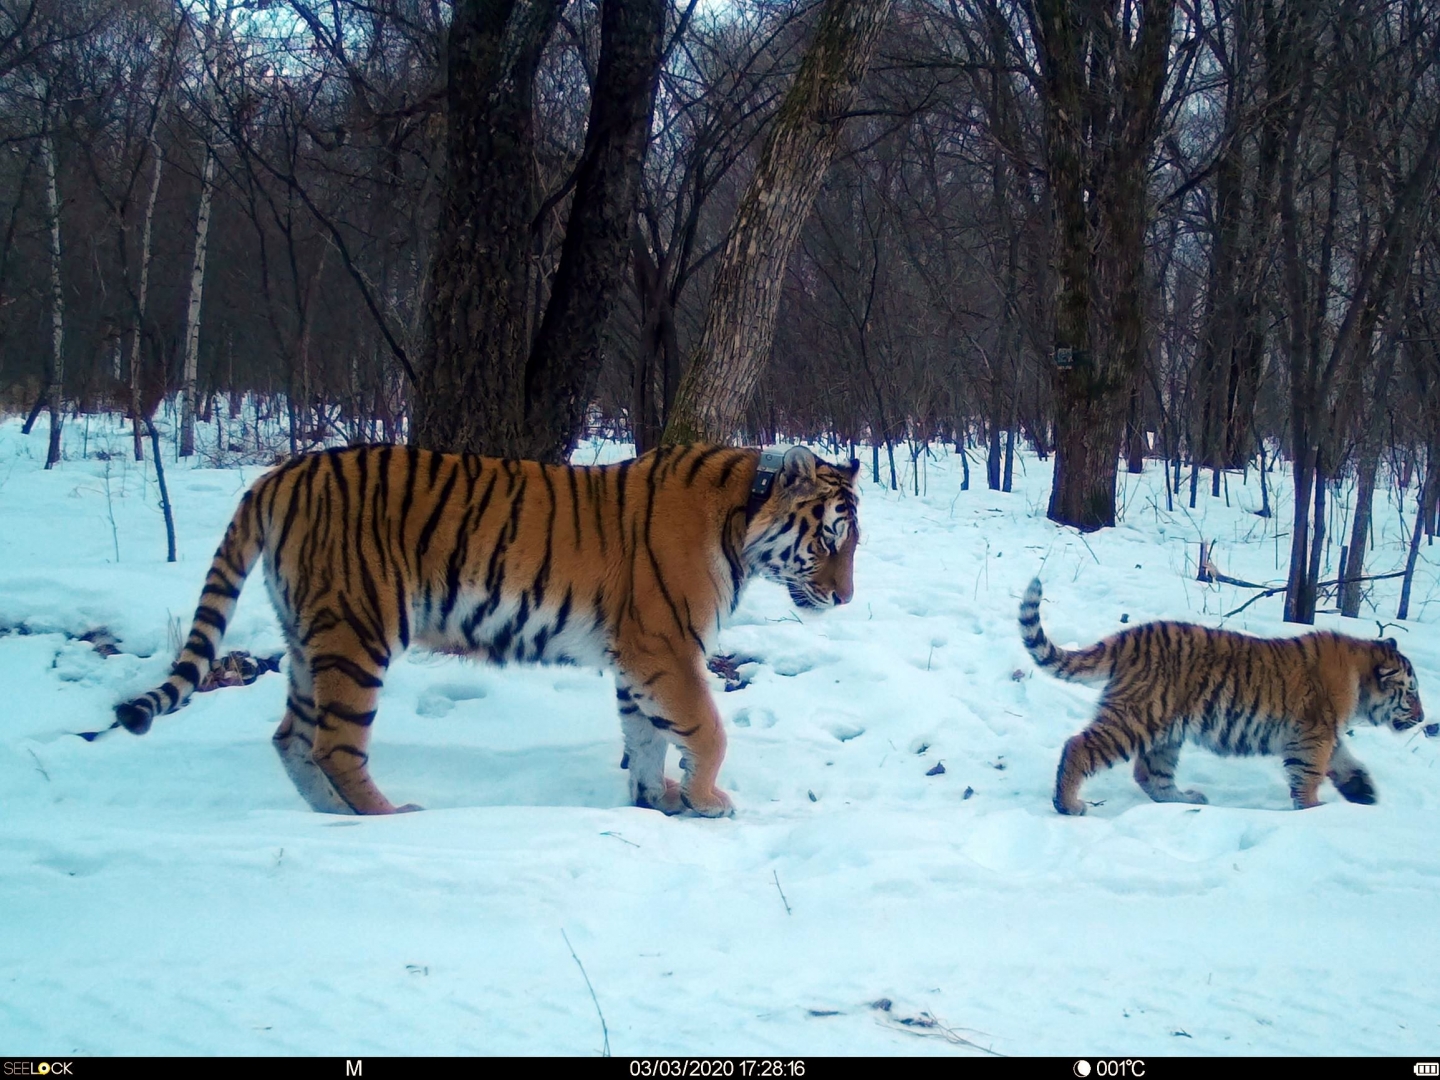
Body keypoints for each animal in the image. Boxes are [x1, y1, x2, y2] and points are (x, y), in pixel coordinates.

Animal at [115, 443, 852, 817]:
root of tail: (278, 474)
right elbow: (705, 728)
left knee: (290, 738)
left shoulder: (635, 658)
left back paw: (333, 819)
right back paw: (387, 819)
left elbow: (644, 737)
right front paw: (705, 798)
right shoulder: (665, 647)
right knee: (334, 744)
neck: (742, 519)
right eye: (832, 539)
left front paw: (655, 801)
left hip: (308, 639)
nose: (845, 598)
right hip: (358, 631)